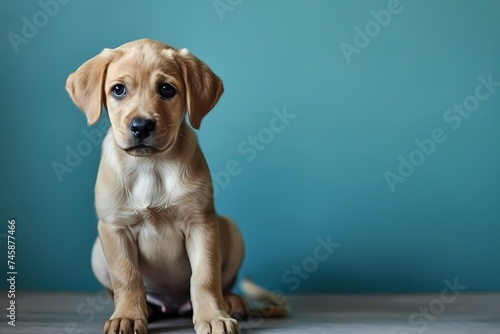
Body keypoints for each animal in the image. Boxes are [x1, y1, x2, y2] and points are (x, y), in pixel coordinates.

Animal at [65, 39, 247, 334]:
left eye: (166, 89)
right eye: (118, 89)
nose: (141, 126)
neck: (150, 167)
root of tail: (173, 306)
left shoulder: (201, 223)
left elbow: (205, 277)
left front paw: (212, 317)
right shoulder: (114, 228)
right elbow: (127, 277)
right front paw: (127, 316)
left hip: (230, 228)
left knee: (223, 283)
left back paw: (233, 302)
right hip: (97, 252)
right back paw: (146, 309)